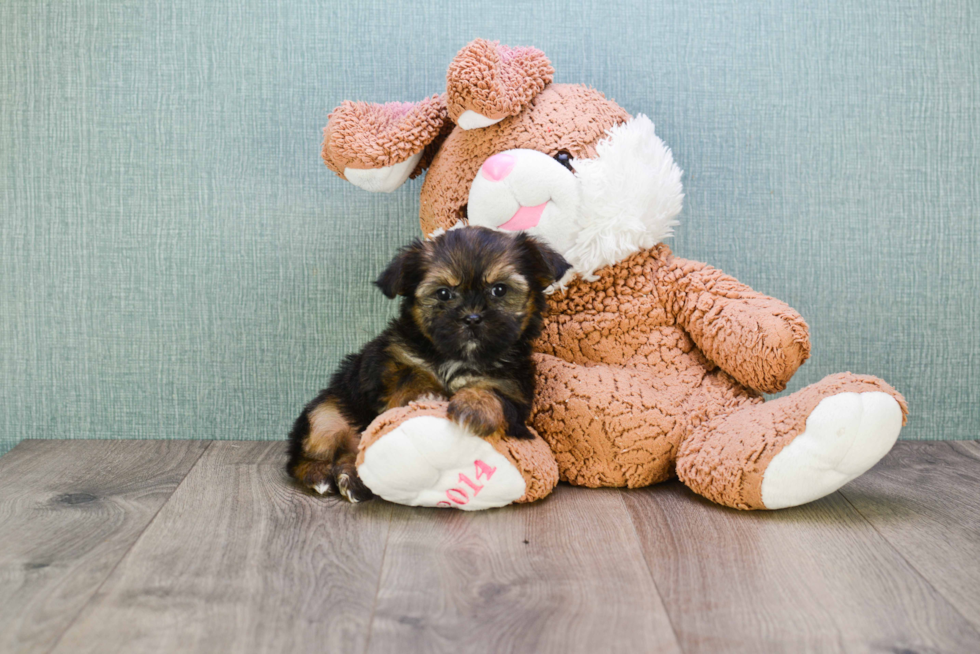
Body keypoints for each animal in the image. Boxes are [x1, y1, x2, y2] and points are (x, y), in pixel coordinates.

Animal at [288, 228, 572, 504]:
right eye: (443, 293)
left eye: (499, 290)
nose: (472, 317)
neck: (457, 357)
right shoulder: (387, 359)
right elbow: (407, 376)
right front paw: (424, 395)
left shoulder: (514, 389)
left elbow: (496, 395)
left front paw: (475, 407)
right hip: (327, 414)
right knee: (305, 456)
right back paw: (320, 476)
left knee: (350, 456)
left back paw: (352, 479)